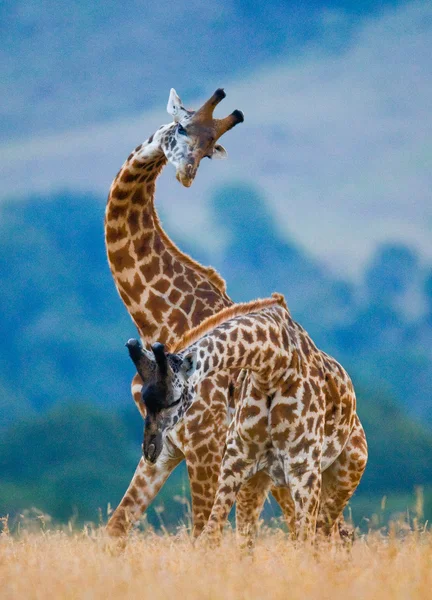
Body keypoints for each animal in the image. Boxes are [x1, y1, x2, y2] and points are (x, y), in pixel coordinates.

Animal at [104, 86, 294, 540]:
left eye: (209, 151)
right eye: (181, 129)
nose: (187, 174)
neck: (155, 316)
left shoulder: (206, 443)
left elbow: (201, 535)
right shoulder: (163, 444)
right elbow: (114, 530)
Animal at [125, 292, 368, 548]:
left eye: (174, 400)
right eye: (144, 399)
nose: (151, 449)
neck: (274, 367)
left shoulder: (303, 467)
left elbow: (304, 542)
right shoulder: (236, 461)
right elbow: (212, 536)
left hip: (345, 475)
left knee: (327, 538)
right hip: (259, 481)